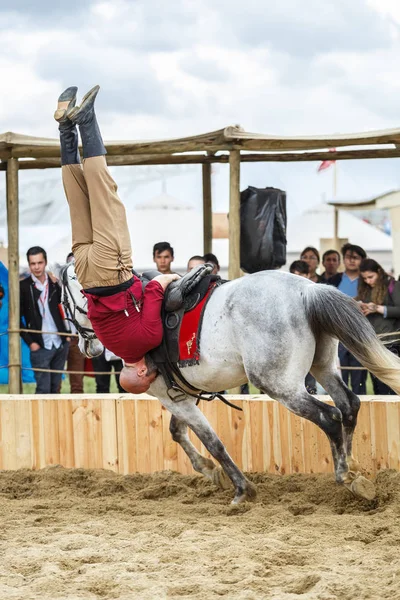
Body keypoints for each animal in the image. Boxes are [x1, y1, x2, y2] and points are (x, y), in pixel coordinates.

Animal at [59, 264, 400, 504]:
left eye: (64, 301)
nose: (87, 348)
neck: (133, 308)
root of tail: (306, 289)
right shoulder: (182, 393)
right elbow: (177, 431)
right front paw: (209, 470)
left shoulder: (170, 396)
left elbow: (212, 441)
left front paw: (241, 487)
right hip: (323, 367)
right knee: (349, 405)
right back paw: (353, 467)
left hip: (280, 385)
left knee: (329, 416)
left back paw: (344, 475)